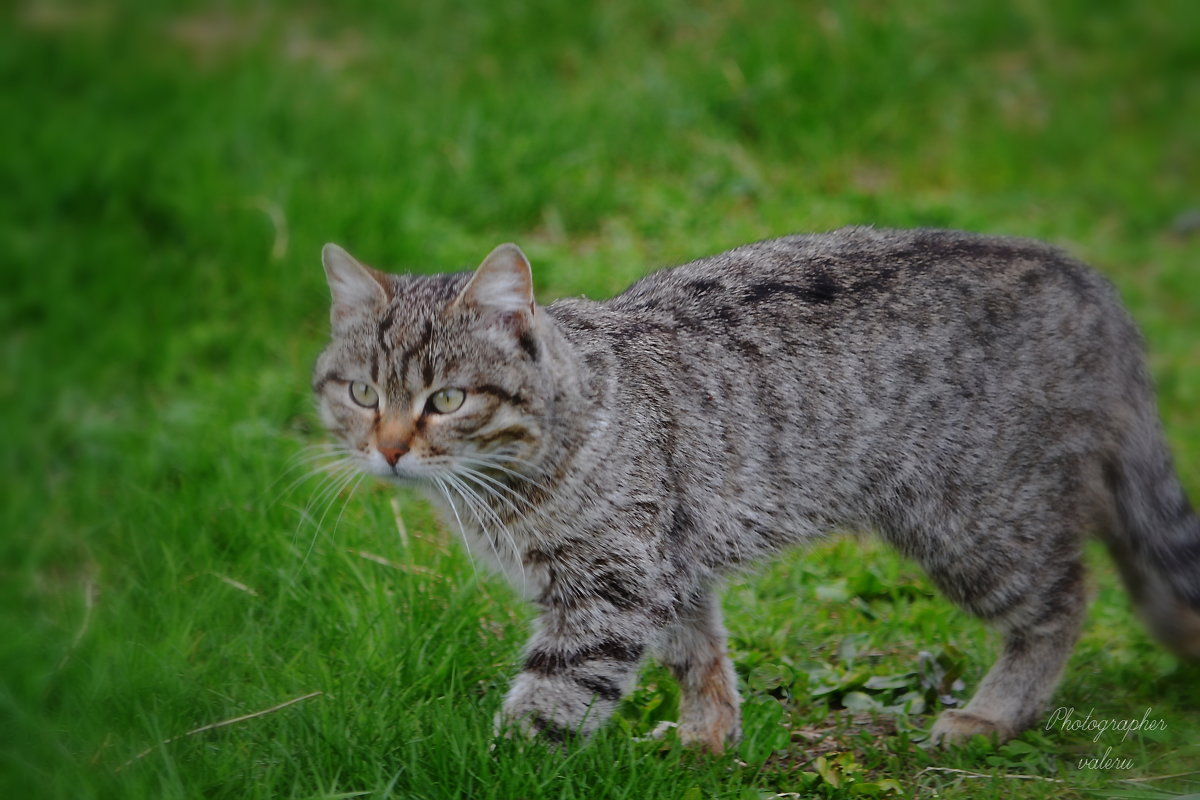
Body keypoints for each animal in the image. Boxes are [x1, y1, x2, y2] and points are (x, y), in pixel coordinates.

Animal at [312, 227, 1200, 753]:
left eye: (446, 400)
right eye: (362, 394)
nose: (388, 449)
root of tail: (1085, 281)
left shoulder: (611, 585)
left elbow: (555, 695)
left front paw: (503, 760)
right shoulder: (671, 566)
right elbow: (698, 653)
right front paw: (707, 739)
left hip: (974, 518)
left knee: (1066, 596)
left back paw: (994, 712)